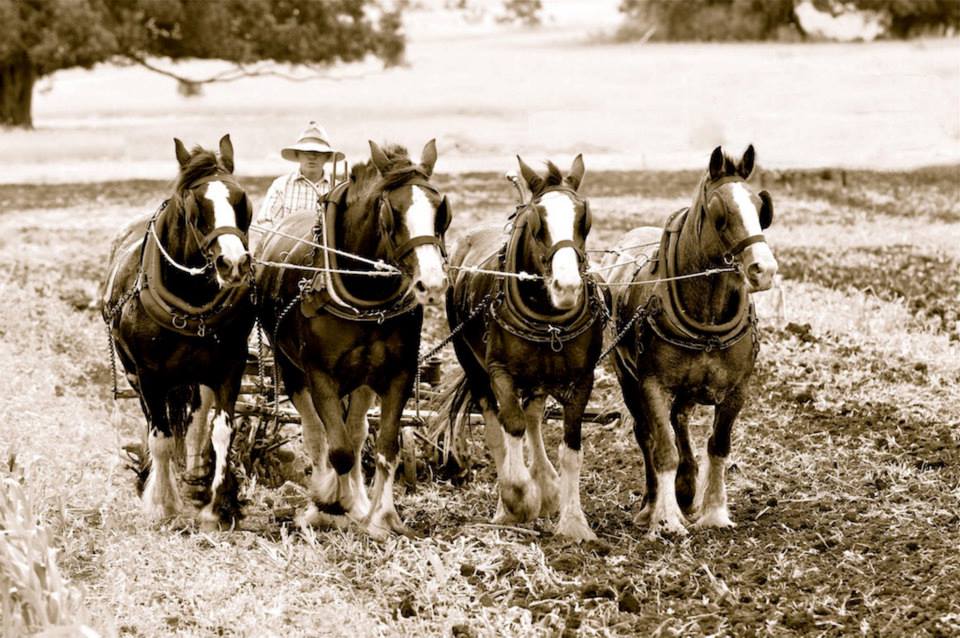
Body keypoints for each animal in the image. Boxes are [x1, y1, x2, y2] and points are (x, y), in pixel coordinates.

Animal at [101, 134, 255, 524]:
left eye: (241, 199)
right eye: (194, 204)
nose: (233, 263)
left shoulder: (229, 366)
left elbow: (221, 431)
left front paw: (217, 506)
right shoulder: (149, 374)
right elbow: (161, 437)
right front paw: (161, 503)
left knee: (197, 422)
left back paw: (196, 480)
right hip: (136, 375)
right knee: (159, 424)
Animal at [253, 139, 452, 540]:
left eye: (441, 210)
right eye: (392, 211)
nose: (432, 284)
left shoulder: (398, 373)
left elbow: (385, 445)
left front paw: (380, 517)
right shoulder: (319, 375)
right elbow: (339, 449)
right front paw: (332, 505)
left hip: (361, 380)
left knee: (357, 431)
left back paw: (358, 502)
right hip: (291, 370)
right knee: (317, 436)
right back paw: (322, 500)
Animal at [444, 155, 608, 540]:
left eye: (585, 217)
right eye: (536, 221)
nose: (567, 286)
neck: (549, 317)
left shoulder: (583, 379)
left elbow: (571, 448)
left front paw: (574, 521)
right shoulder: (500, 372)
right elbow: (512, 427)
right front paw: (518, 498)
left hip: (539, 375)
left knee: (533, 416)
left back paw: (546, 485)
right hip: (471, 363)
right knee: (497, 425)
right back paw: (510, 501)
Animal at [608, 145, 780, 536]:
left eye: (760, 207)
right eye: (720, 213)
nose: (764, 270)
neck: (706, 320)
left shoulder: (737, 391)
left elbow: (718, 445)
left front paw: (714, 511)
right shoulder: (653, 386)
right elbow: (663, 449)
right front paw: (667, 519)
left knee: (681, 421)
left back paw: (686, 490)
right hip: (628, 378)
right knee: (647, 435)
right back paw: (651, 504)